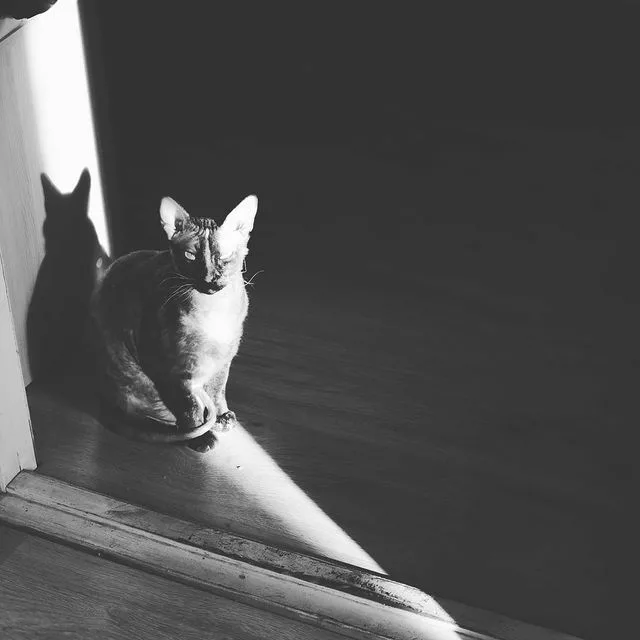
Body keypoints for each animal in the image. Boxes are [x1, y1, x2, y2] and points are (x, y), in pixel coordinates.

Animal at [91, 194, 258, 453]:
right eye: (190, 256)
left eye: (225, 257)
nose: (209, 279)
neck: (215, 311)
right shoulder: (170, 370)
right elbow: (189, 409)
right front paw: (201, 437)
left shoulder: (224, 361)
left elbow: (218, 390)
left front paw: (221, 417)